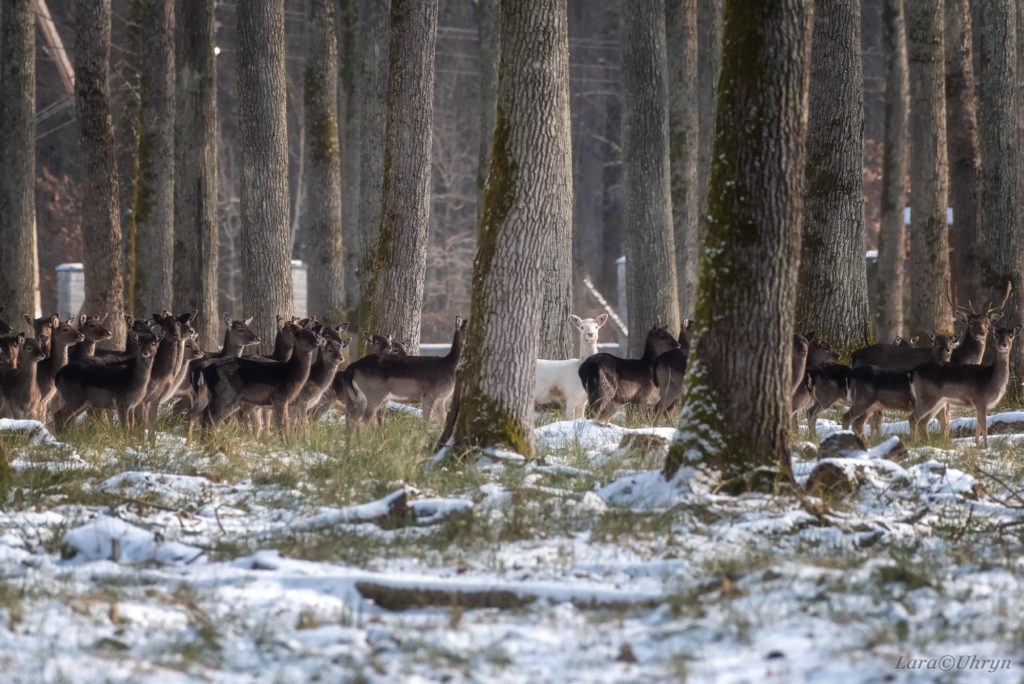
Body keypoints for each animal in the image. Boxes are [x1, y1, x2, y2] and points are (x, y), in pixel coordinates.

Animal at [188, 325, 321, 438]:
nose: (317, 341)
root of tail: (205, 371)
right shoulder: (280, 397)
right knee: (208, 417)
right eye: (302, 334)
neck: (290, 374)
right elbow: (283, 425)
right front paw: (287, 443)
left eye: (315, 334)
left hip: (213, 397)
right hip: (226, 393)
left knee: (202, 416)